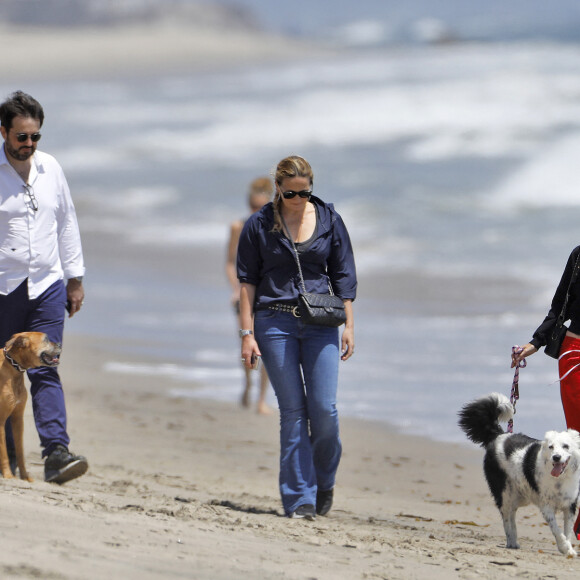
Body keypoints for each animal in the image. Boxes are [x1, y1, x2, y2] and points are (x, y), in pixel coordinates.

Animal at [0, 330, 61, 480]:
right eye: (46, 339)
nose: (59, 343)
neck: (13, 366)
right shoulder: (0, 421)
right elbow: (3, 452)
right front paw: (8, 475)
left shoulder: (18, 419)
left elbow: (20, 451)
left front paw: (25, 477)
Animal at [458, 394, 580, 556]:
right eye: (551, 447)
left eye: (566, 446)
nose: (556, 457)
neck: (559, 479)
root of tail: (499, 435)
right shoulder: (546, 506)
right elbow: (557, 530)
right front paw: (564, 547)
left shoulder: (570, 505)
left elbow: (567, 531)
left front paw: (569, 549)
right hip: (504, 494)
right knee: (506, 518)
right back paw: (511, 542)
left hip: (520, 496)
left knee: (512, 515)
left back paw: (514, 542)